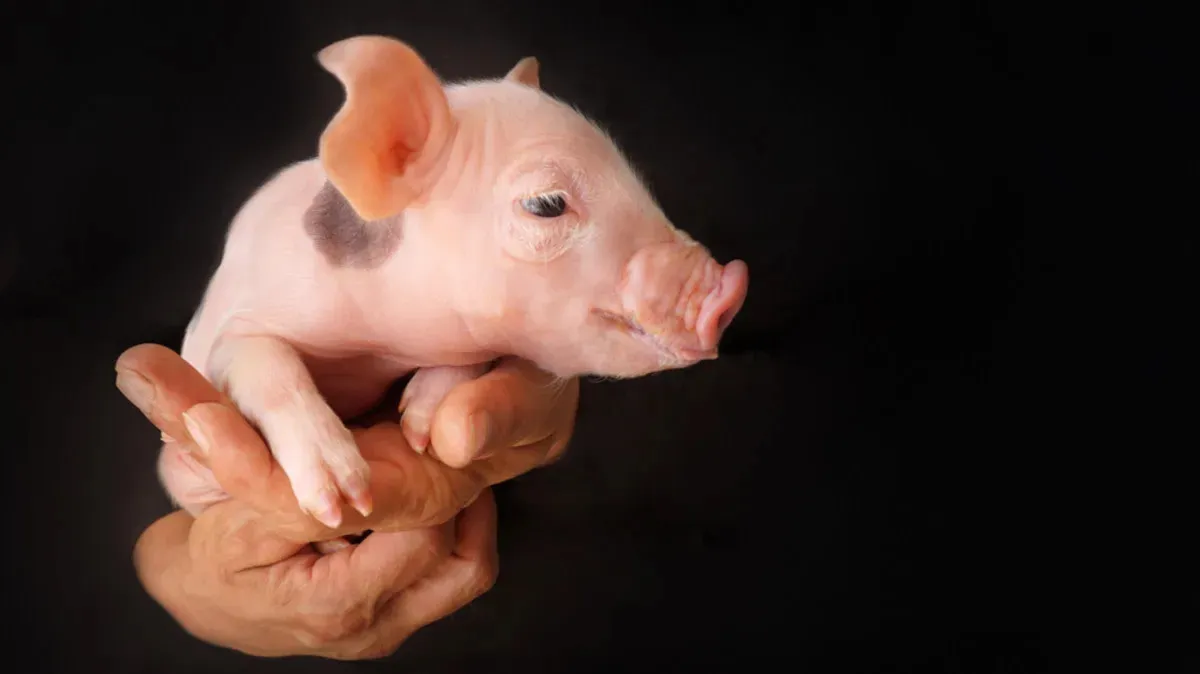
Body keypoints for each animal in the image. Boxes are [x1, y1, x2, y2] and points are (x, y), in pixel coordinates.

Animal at [159, 35, 749, 532]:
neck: (378, 345)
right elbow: (264, 361)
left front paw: (418, 427)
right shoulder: (233, 329)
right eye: (546, 204)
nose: (733, 284)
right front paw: (344, 500)